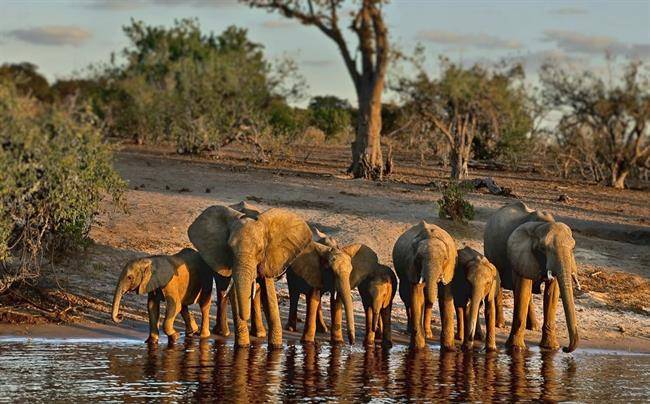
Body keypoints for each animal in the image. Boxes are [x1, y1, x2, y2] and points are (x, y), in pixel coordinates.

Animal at [187, 205, 312, 348]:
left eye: (260, 250)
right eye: (229, 249)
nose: (245, 317)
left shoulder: (269, 258)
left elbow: (268, 296)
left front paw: (276, 347)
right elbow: (234, 294)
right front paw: (243, 347)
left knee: (255, 292)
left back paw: (258, 334)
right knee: (222, 287)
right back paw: (223, 333)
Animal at [390, 221, 456, 350]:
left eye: (445, 258)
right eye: (419, 258)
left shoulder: (449, 267)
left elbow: (445, 294)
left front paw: (449, 348)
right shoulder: (411, 264)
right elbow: (417, 295)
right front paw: (418, 348)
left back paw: (428, 334)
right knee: (406, 297)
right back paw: (410, 331)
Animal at [484, 202, 580, 354]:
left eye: (573, 248)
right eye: (543, 248)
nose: (565, 348)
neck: (541, 225)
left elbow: (552, 293)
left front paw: (551, 348)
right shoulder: (521, 253)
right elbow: (523, 288)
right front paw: (516, 348)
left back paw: (533, 327)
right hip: (490, 251)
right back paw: (500, 324)